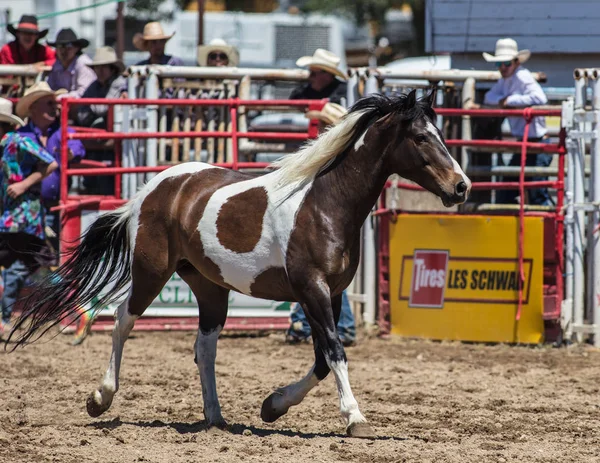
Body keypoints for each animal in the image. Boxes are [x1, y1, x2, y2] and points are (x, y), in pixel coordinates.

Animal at [8, 90, 468, 438]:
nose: (461, 187)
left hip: (210, 287)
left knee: (204, 347)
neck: (324, 204)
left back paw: (215, 416)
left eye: (441, 134)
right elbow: (335, 352)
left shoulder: (332, 294)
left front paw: (272, 406)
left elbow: (323, 359)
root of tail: (152, 190)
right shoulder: (312, 289)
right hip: (151, 272)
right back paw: (100, 399)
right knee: (123, 320)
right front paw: (355, 417)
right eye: (422, 138)